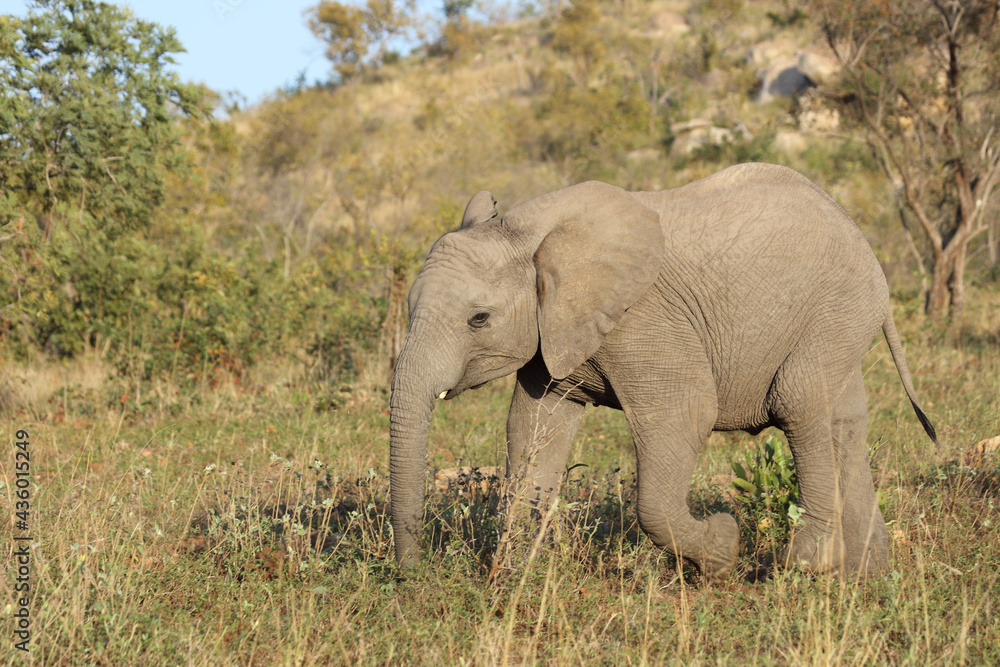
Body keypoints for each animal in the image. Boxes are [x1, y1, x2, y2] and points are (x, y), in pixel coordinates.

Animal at [389, 162, 937, 582]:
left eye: (478, 319)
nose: (414, 578)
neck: (529, 230)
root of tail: (854, 227)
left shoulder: (644, 319)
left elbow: (686, 415)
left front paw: (723, 547)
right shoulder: (553, 332)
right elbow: (533, 427)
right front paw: (514, 578)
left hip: (837, 307)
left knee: (801, 405)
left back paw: (808, 565)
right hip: (842, 319)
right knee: (844, 421)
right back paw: (867, 575)